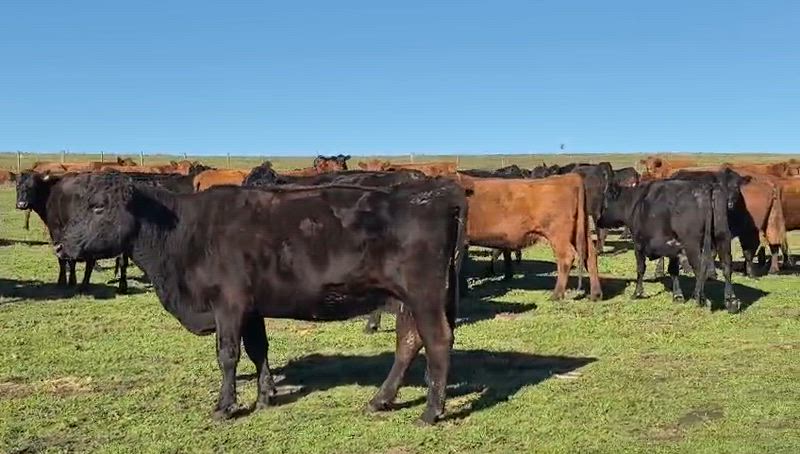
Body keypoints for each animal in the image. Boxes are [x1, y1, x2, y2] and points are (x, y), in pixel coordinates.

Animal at [53, 172, 467, 425]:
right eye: (79, 205)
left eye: (98, 206)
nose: (60, 245)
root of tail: (435, 195)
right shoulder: (251, 308)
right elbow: (258, 349)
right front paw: (267, 393)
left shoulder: (229, 303)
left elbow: (228, 354)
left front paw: (225, 405)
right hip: (406, 299)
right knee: (409, 342)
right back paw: (381, 399)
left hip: (425, 295)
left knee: (437, 341)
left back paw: (431, 411)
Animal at [455, 173, 603, 301]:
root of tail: (569, 177)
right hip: (580, 232)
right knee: (590, 255)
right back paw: (596, 294)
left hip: (558, 235)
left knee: (566, 257)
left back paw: (556, 295)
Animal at [597, 173, 748, 313]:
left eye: (605, 202)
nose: (598, 221)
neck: (636, 204)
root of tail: (707, 187)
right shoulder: (673, 248)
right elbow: (673, 270)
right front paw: (678, 296)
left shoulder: (638, 244)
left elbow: (640, 269)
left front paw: (637, 293)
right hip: (722, 237)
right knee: (726, 266)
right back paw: (731, 301)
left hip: (692, 245)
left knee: (700, 269)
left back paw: (700, 298)